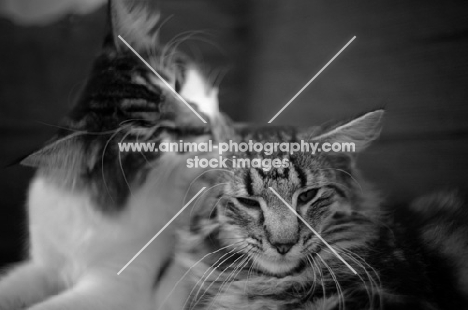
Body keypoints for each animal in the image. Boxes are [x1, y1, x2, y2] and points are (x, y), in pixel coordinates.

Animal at [0, 1, 227, 308]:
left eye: (177, 84)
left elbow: (44, 306)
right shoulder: (45, 266)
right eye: (152, 137)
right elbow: (11, 287)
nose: (206, 125)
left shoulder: (117, 285)